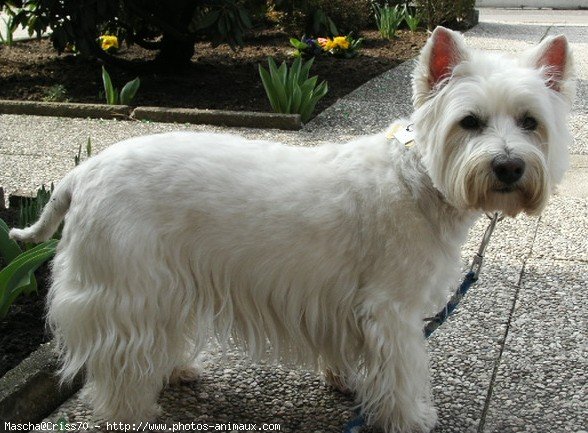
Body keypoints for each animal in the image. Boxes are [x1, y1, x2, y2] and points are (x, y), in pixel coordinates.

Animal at [10, 27, 576, 432]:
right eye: (469, 122)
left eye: (530, 121)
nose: (508, 168)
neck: (420, 179)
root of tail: (83, 172)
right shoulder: (392, 309)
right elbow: (401, 369)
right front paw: (410, 418)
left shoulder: (349, 305)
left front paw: (349, 384)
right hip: (127, 286)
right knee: (117, 363)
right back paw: (132, 411)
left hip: (162, 283)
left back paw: (175, 370)